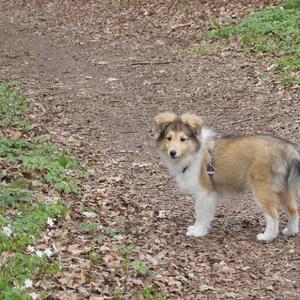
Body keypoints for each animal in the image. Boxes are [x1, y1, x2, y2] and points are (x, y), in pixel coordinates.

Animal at [155, 112, 300, 241]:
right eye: (169, 138)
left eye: (183, 139)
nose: (172, 152)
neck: (194, 152)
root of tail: (287, 148)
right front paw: (196, 228)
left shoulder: (205, 193)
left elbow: (200, 214)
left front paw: (198, 232)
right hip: (283, 189)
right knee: (293, 210)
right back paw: (291, 231)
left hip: (263, 190)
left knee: (273, 216)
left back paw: (267, 237)